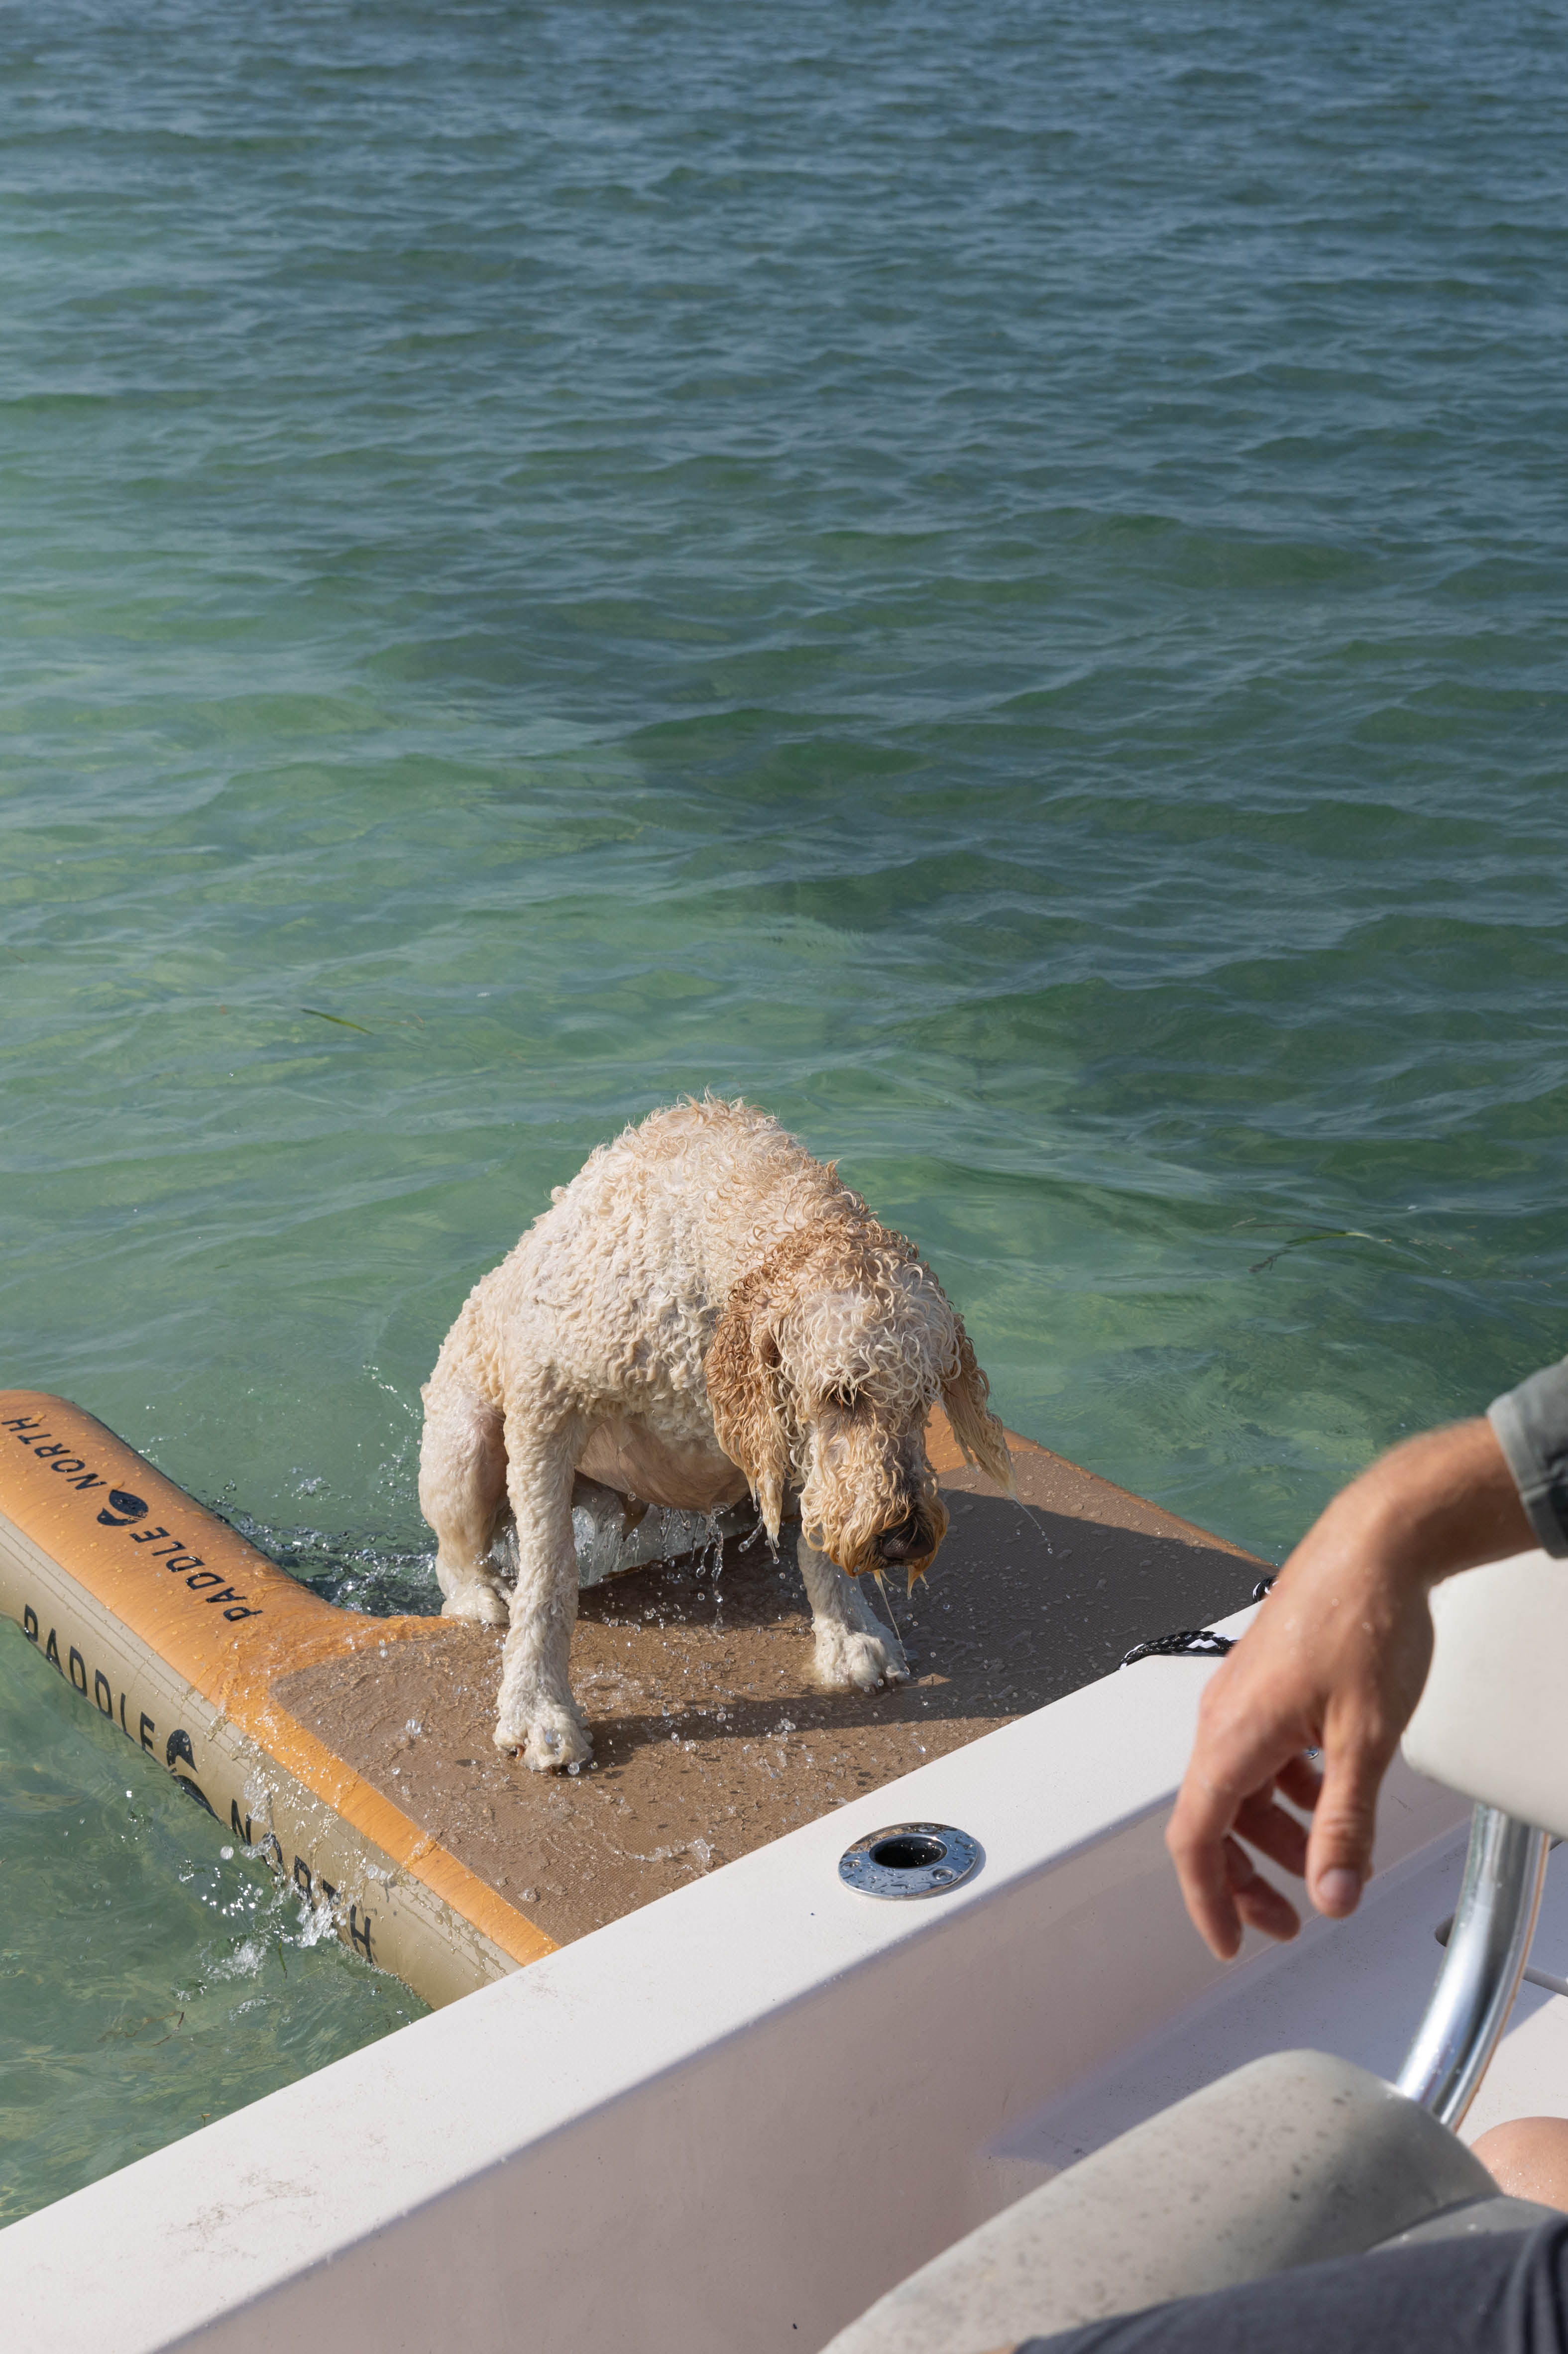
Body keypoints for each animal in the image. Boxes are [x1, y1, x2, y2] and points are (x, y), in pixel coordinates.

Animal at [414, 1097, 1008, 1770]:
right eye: (843, 1393)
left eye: (923, 1398)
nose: (905, 1537)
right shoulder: (547, 1402)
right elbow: (549, 1575)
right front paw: (539, 1708)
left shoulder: (786, 1425)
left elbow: (818, 1543)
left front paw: (850, 1634)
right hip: (466, 1445)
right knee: (456, 1553)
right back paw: (480, 1596)